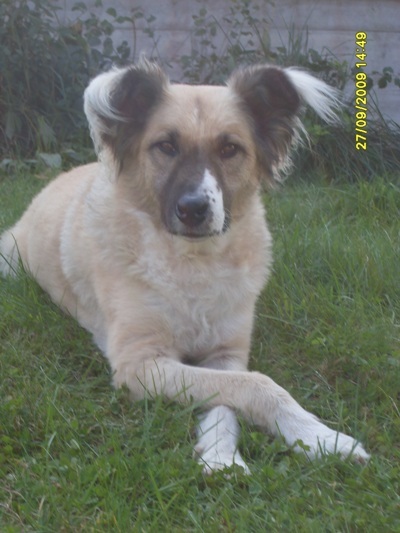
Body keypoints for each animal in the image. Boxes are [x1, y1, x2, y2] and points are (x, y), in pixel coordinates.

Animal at [0, 61, 369, 473]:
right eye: (166, 146)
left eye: (230, 148)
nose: (194, 209)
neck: (193, 263)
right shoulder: (139, 363)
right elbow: (258, 383)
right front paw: (308, 437)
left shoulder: (226, 354)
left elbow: (232, 397)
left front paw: (290, 442)